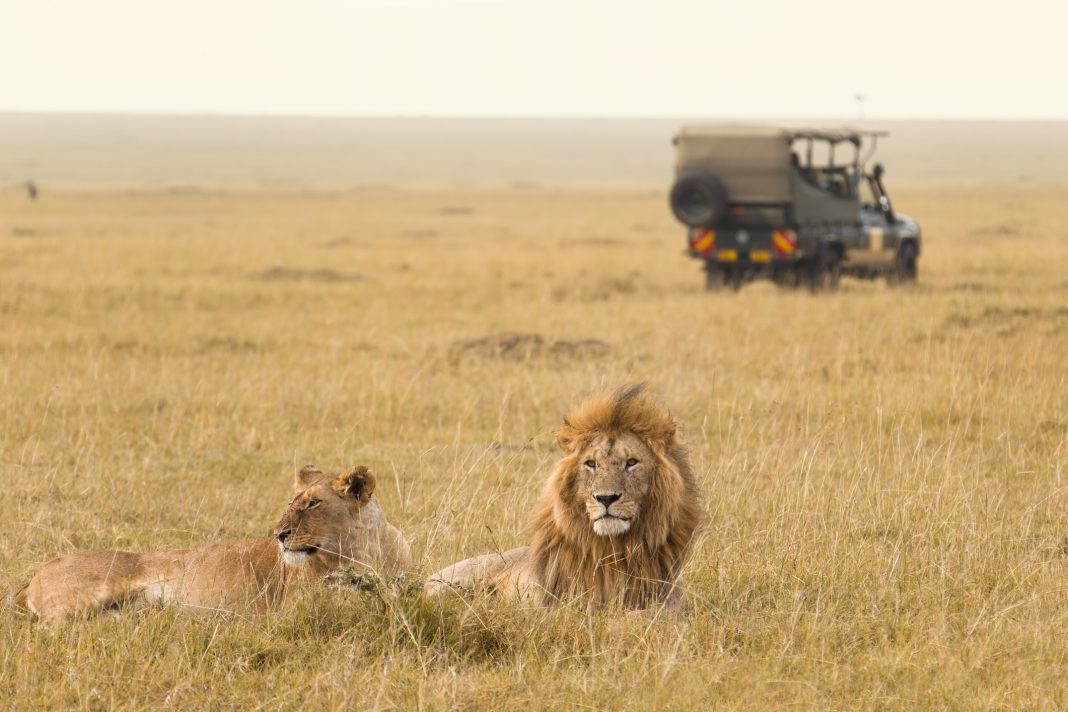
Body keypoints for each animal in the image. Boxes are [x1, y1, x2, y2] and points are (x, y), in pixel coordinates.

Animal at [14, 463, 410, 623]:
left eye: (313, 503)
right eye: (293, 502)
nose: (279, 535)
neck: (365, 551)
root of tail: (32, 578)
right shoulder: (296, 608)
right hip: (82, 598)